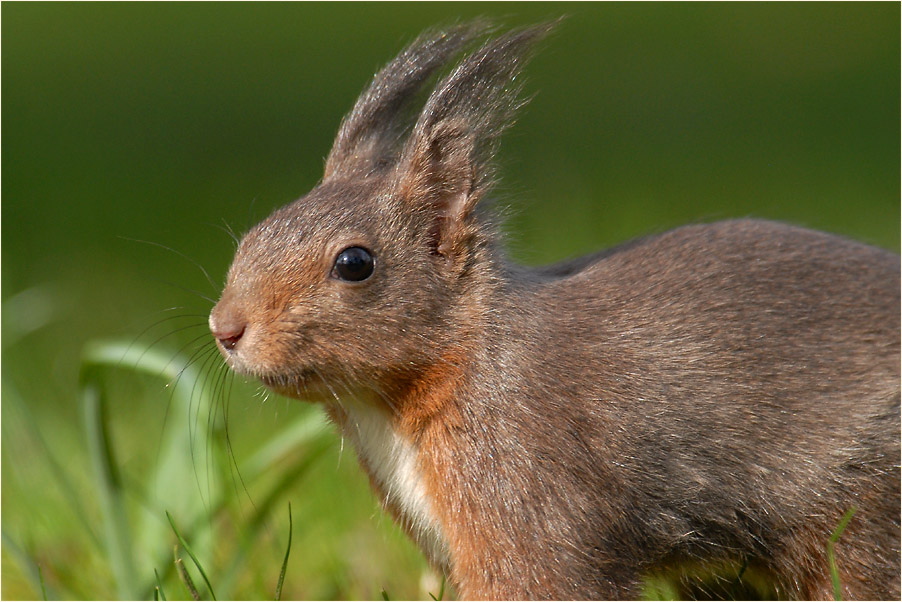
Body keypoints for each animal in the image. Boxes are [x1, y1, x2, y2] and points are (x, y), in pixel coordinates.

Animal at [209, 23, 901, 600]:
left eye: (355, 263)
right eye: (253, 235)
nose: (225, 328)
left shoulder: (528, 479)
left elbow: (545, 577)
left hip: (866, 519)